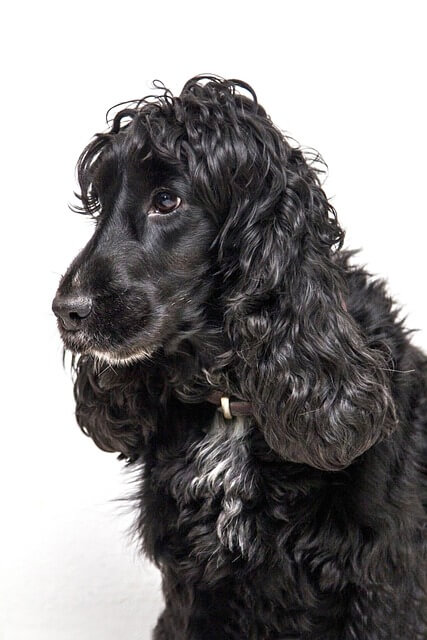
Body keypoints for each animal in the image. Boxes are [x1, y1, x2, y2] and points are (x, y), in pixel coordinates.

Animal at [53, 76, 427, 640]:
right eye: (100, 205)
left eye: (167, 200)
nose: (65, 311)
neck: (231, 401)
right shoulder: (194, 587)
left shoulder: (383, 590)